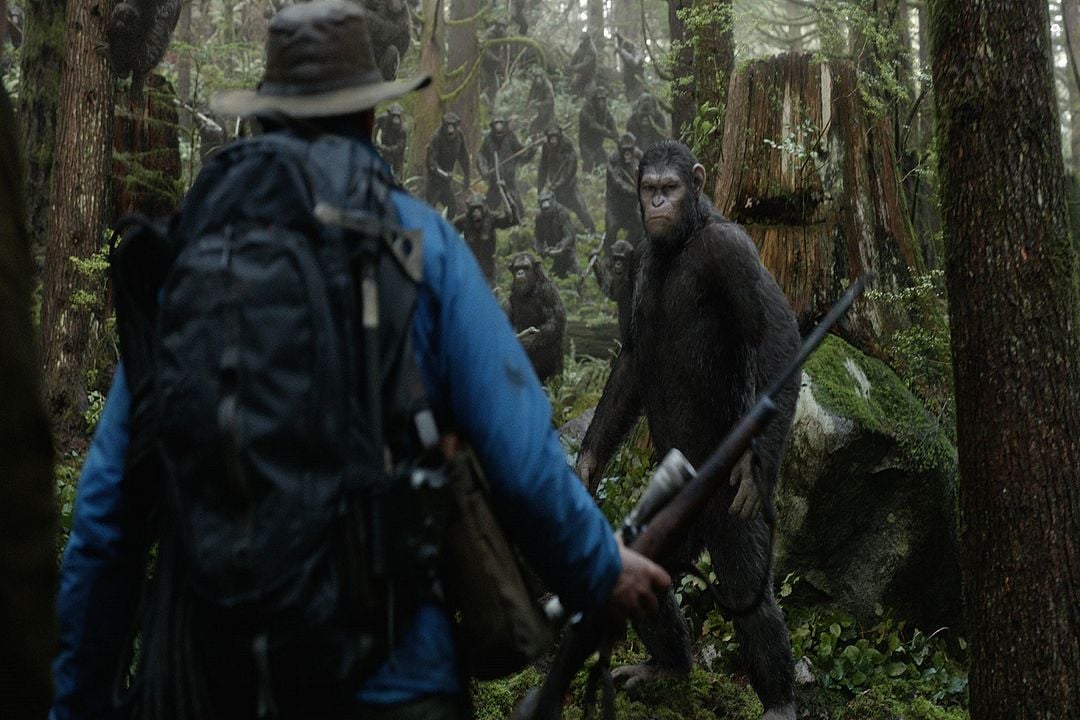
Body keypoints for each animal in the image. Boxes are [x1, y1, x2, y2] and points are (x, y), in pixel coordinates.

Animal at [578, 142, 799, 720]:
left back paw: (779, 701)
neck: (681, 240)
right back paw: (668, 666)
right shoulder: (636, 261)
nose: (657, 202)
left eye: (671, 188)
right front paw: (587, 464)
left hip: (723, 505)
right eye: (650, 186)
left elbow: (777, 336)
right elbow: (631, 362)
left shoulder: (734, 251)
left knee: (746, 584)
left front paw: (761, 468)